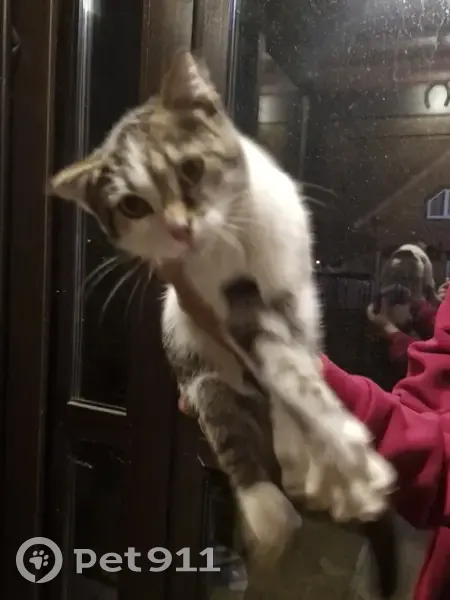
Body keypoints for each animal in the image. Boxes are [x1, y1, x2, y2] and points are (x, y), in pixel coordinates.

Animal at [49, 51, 396, 584]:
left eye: (191, 169)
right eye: (133, 205)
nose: (180, 228)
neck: (232, 238)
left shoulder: (296, 289)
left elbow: (302, 365)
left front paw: (329, 454)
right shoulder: (220, 296)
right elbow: (282, 368)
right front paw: (345, 462)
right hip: (198, 372)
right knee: (224, 414)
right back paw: (268, 509)